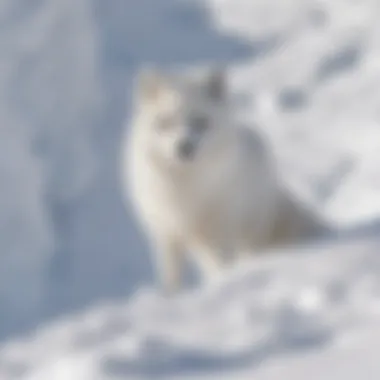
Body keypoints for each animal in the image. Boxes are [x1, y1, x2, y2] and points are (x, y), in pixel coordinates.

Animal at [122, 67, 324, 290]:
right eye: (166, 123)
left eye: (200, 122)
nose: (184, 147)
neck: (184, 187)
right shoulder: (166, 234)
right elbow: (171, 278)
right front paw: (172, 296)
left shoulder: (220, 232)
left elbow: (221, 266)